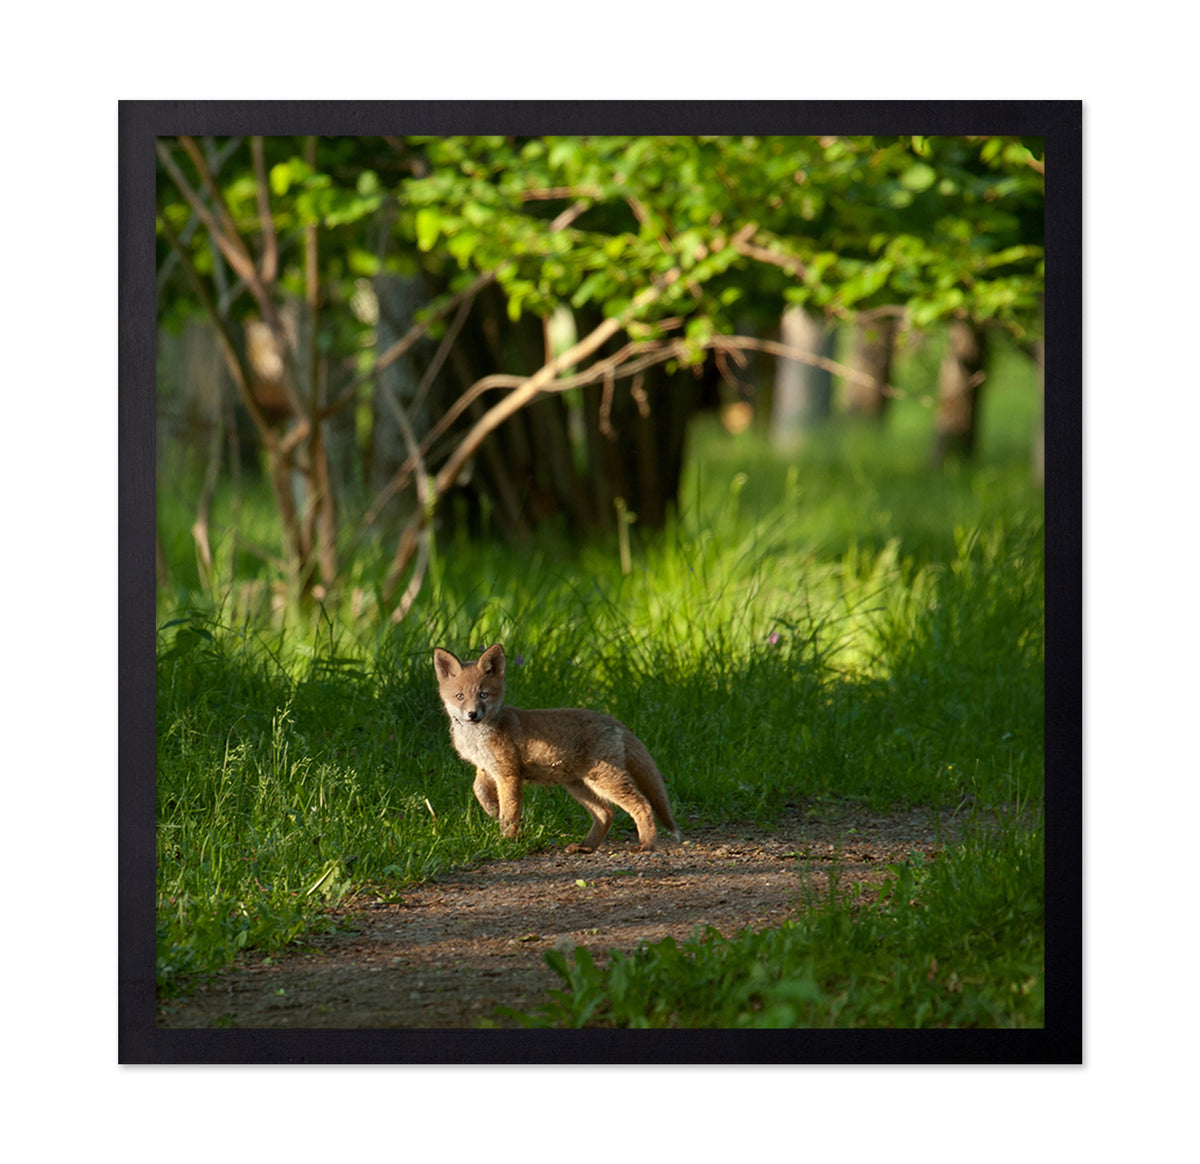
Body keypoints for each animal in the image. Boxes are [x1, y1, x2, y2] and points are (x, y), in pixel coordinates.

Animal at [432, 643, 682, 852]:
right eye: (460, 696)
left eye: (483, 695)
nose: (472, 714)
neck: (477, 738)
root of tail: (614, 720)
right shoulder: (486, 768)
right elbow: (479, 791)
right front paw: (492, 810)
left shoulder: (509, 773)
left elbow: (510, 813)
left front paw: (506, 841)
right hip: (579, 785)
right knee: (606, 813)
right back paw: (585, 848)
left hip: (604, 780)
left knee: (641, 804)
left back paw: (647, 845)